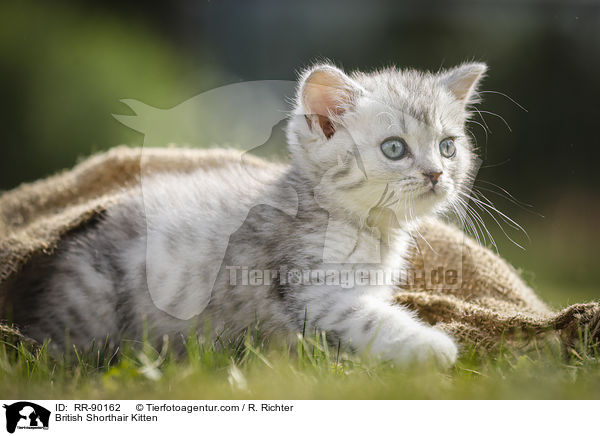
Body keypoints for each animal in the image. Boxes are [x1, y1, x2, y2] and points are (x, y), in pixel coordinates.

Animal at [10, 61, 488, 366]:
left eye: (448, 146)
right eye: (394, 148)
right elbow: (368, 319)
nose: (435, 173)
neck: (366, 227)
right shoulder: (313, 290)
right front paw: (434, 347)